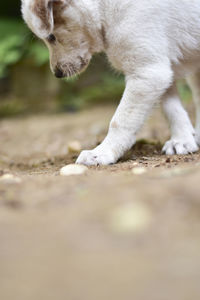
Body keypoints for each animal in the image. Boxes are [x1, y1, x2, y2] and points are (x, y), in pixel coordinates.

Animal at [21, 0, 200, 166]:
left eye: (51, 37)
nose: (57, 73)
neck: (105, 9)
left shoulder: (147, 72)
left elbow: (120, 121)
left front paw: (101, 153)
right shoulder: (161, 70)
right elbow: (172, 109)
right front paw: (182, 140)